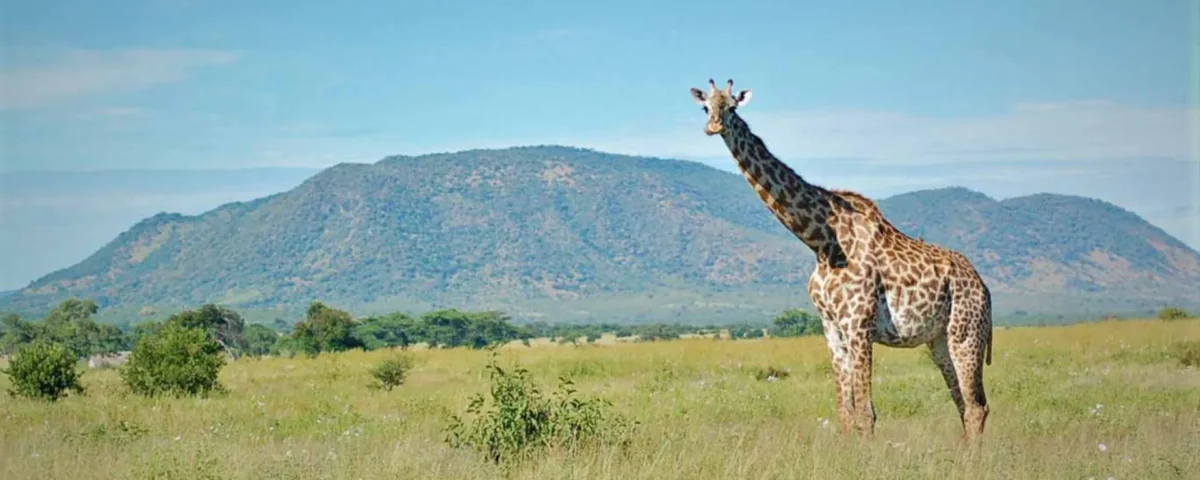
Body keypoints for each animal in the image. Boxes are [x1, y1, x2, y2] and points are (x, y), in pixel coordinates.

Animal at [689, 78, 994, 440]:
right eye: (705, 107)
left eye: (732, 106)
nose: (713, 126)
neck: (821, 241)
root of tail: (984, 288)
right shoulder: (832, 327)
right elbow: (845, 414)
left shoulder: (858, 324)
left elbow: (866, 413)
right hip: (939, 340)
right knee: (965, 405)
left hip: (967, 332)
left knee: (975, 407)